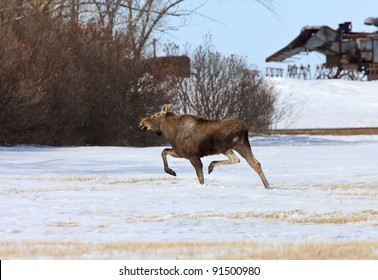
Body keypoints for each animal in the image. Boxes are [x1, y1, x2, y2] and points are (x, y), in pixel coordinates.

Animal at [140, 105, 270, 190]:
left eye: (155, 115)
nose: (142, 122)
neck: (170, 133)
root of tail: (245, 128)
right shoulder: (180, 152)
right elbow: (164, 151)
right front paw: (171, 171)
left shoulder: (192, 155)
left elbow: (200, 177)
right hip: (237, 146)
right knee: (251, 162)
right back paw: (267, 186)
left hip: (230, 146)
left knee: (244, 161)